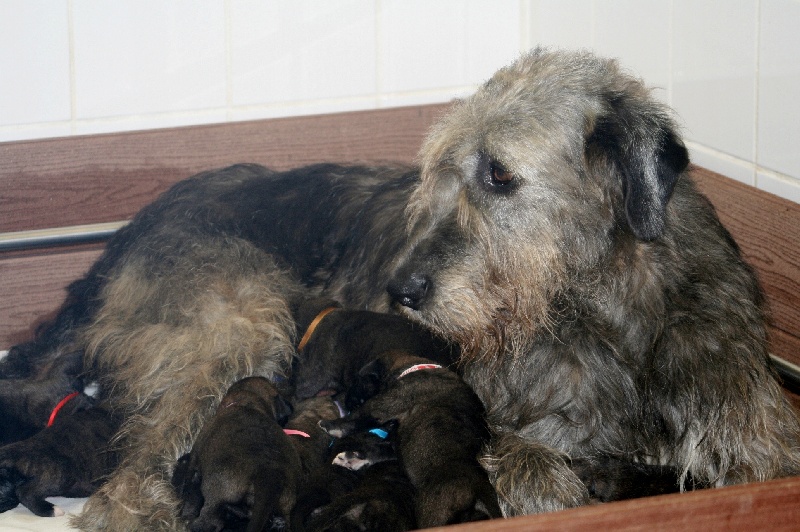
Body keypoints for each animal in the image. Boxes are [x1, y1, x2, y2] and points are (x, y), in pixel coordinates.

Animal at [173, 376, 298, 532]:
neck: (248, 404)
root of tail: (270, 473)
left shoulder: (195, 454)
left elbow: (188, 476)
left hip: (216, 493)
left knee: (208, 520)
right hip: (283, 507)